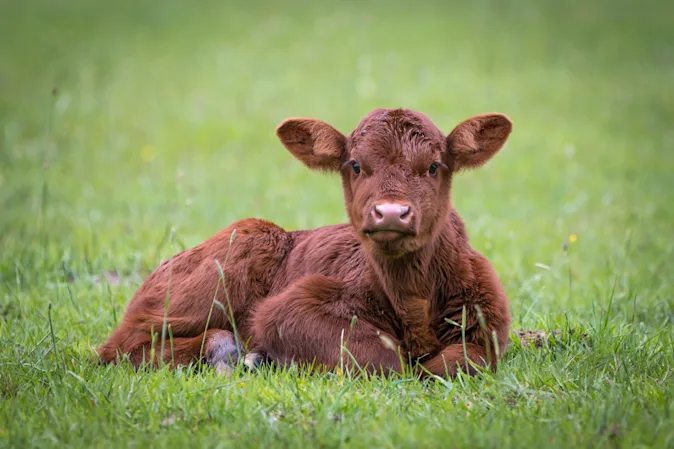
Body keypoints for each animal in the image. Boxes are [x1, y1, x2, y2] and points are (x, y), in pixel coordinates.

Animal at [97, 108, 513, 378]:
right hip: (229, 258)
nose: (392, 213)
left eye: (433, 167)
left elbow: (461, 361)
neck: (412, 300)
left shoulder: (489, 324)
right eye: (355, 166)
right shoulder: (290, 308)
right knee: (118, 347)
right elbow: (385, 361)